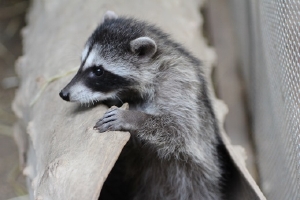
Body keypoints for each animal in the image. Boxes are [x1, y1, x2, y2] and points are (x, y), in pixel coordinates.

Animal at [59, 11, 225, 200]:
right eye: (82, 63)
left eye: (98, 71)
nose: (64, 93)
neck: (156, 66)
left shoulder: (179, 86)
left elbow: (179, 130)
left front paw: (134, 117)